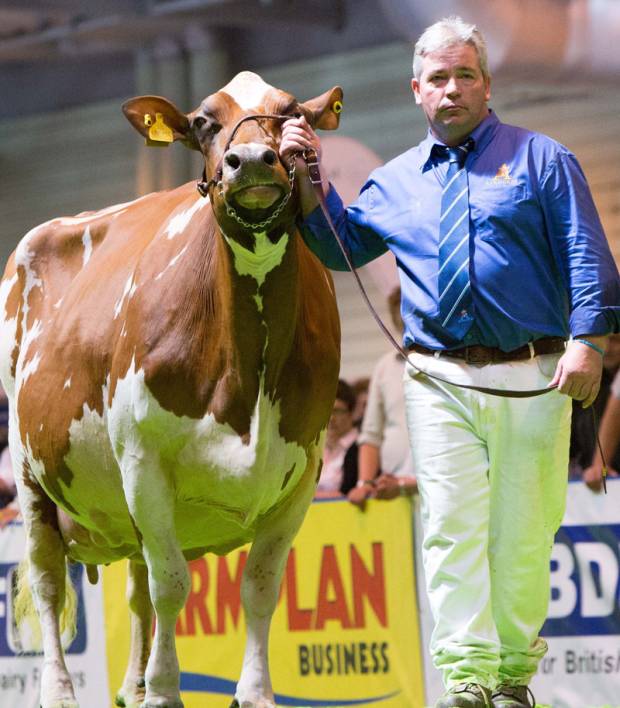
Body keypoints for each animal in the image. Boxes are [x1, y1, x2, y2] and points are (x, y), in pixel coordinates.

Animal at [0, 72, 342, 708]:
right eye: (204, 122)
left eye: (289, 113)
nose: (250, 160)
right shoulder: (143, 459)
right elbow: (173, 585)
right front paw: (163, 690)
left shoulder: (304, 470)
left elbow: (259, 587)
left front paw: (254, 692)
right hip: (29, 468)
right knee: (49, 578)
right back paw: (62, 690)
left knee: (134, 582)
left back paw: (131, 686)